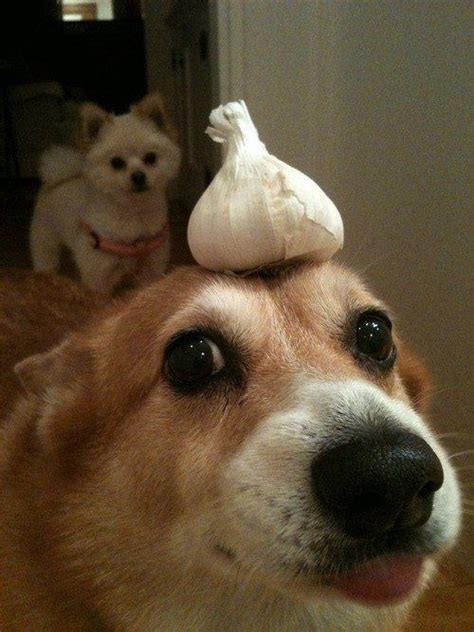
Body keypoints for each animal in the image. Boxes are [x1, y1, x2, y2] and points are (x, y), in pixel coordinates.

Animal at [30, 93, 181, 294]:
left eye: (151, 158)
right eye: (116, 162)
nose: (138, 176)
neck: (133, 214)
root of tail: (59, 177)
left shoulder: (151, 269)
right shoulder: (98, 275)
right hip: (45, 242)